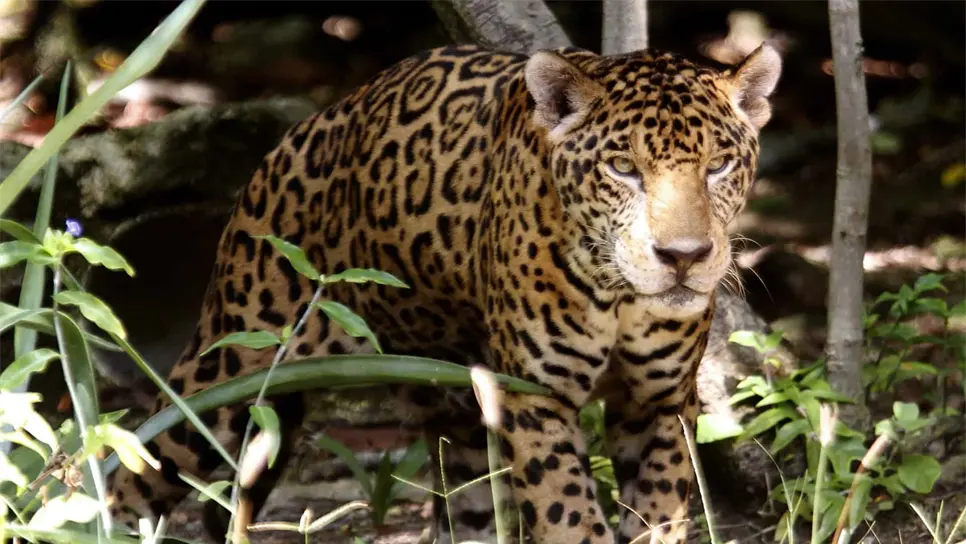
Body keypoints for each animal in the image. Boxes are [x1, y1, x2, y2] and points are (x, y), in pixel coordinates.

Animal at [107, 42, 781, 544]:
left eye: (719, 166)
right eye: (623, 169)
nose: (684, 257)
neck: (619, 298)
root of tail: (302, 130)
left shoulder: (659, 404)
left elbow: (656, 515)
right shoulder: (534, 398)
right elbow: (567, 513)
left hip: (451, 409)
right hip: (232, 373)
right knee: (137, 463)